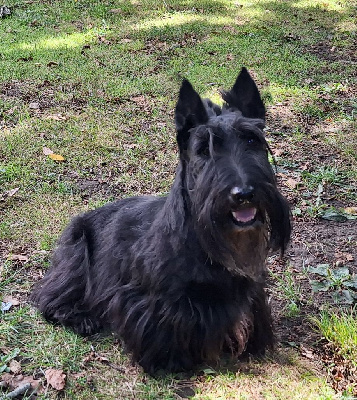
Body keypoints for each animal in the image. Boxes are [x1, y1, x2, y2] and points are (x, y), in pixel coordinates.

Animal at [30, 68, 290, 372]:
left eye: (251, 140)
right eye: (204, 150)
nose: (244, 194)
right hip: (76, 252)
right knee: (49, 297)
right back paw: (81, 318)